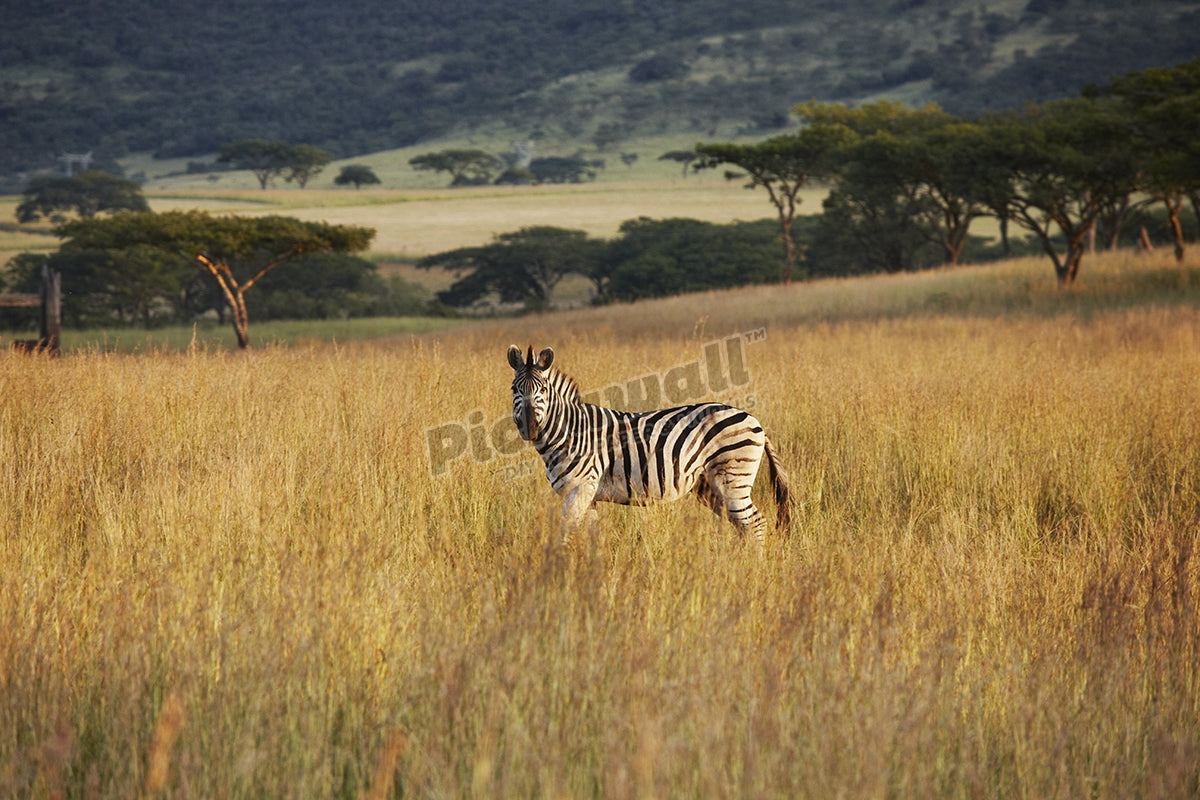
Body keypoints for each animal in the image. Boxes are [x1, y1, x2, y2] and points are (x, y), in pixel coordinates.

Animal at [508, 344, 791, 546]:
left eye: (543, 389)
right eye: (514, 389)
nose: (530, 427)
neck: (569, 432)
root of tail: (754, 419)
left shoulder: (580, 488)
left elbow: (565, 534)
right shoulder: (587, 495)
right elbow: (591, 536)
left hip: (732, 480)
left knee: (755, 524)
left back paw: (751, 569)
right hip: (709, 487)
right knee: (743, 526)